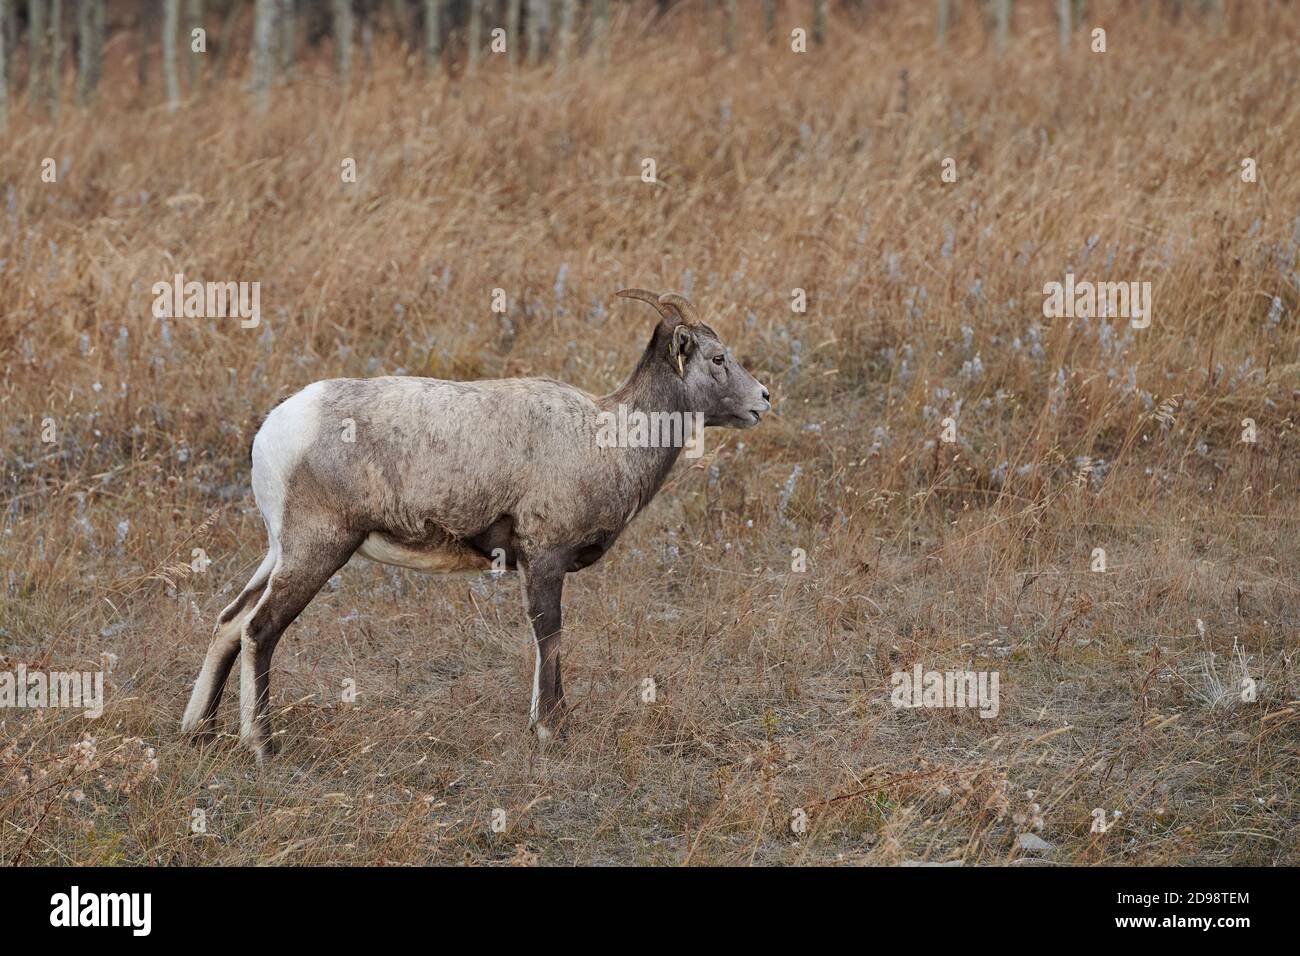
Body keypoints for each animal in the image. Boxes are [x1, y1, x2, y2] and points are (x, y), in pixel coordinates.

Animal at [183, 291, 769, 764]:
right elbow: (549, 635)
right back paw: (263, 747)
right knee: (259, 629)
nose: (763, 399)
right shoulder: (545, 559)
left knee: (229, 622)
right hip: (316, 550)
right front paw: (553, 732)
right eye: (718, 358)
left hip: (279, 552)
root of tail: (276, 428)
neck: (608, 438)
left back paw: (199, 734)